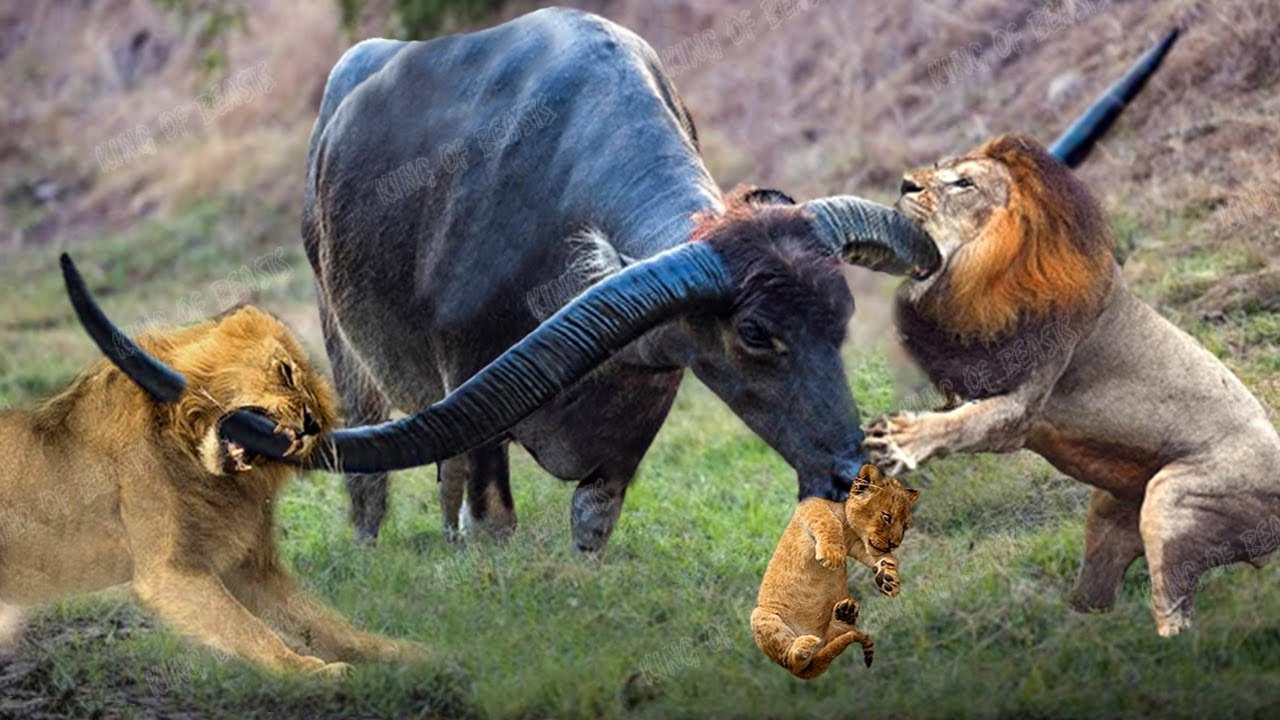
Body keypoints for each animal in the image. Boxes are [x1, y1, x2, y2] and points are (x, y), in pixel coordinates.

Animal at [0, 256, 425, 674]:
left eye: (320, 416)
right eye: (286, 371)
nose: (309, 425)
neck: (200, 469)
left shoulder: (252, 567)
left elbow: (326, 624)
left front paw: (411, 652)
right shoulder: (169, 571)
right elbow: (249, 630)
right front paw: (311, 671)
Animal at [751, 464, 919, 679]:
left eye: (905, 526)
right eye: (887, 517)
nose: (895, 544)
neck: (847, 525)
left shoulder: (855, 543)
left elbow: (878, 557)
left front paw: (888, 577)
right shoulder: (809, 502)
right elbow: (826, 519)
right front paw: (832, 556)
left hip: (828, 636)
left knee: (831, 642)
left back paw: (844, 614)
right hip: (761, 617)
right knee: (793, 663)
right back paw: (802, 648)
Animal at [865, 134, 1280, 636]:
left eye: (964, 183)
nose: (905, 184)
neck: (991, 267)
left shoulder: (1020, 408)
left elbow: (963, 424)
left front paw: (900, 439)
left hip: (1173, 502)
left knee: (1176, 618)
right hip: (1108, 517)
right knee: (1095, 597)